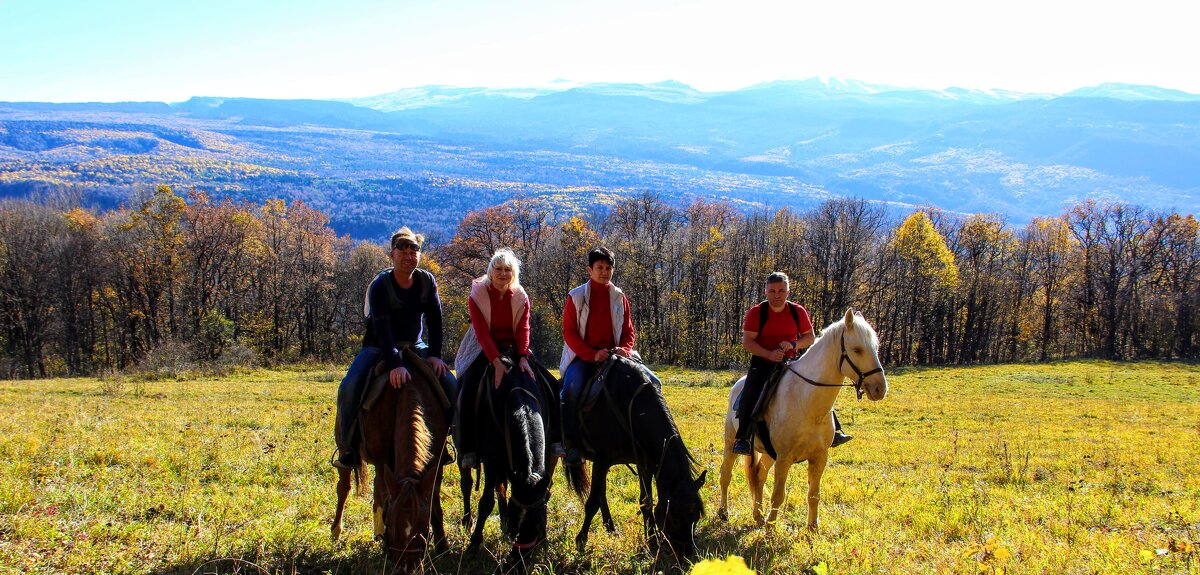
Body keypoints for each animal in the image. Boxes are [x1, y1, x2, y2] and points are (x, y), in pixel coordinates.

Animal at [331, 367, 448, 573]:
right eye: (391, 524)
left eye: (422, 525)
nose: (406, 567)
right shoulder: (381, 462)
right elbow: (383, 497)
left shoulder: (437, 464)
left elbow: (435, 503)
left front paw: (443, 547)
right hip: (344, 446)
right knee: (344, 488)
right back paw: (337, 531)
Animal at [458, 360, 556, 571]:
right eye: (514, 517)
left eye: (538, 521)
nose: (519, 563)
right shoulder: (491, 458)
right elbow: (486, 502)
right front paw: (474, 544)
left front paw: (543, 540)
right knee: (467, 484)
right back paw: (467, 520)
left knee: (501, 486)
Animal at [566, 355, 705, 556]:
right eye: (674, 516)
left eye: (697, 516)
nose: (686, 553)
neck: (629, 405)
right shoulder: (601, 460)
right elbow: (591, 503)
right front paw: (581, 540)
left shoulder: (644, 463)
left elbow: (646, 501)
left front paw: (652, 540)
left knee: (602, 493)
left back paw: (610, 526)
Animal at [715, 306, 888, 530]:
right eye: (857, 349)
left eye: (875, 347)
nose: (880, 389)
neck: (807, 402)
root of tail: (737, 385)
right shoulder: (784, 458)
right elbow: (778, 495)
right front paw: (771, 528)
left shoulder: (819, 457)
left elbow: (813, 495)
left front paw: (812, 529)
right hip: (731, 444)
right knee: (725, 475)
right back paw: (723, 512)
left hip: (768, 453)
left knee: (759, 475)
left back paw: (758, 516)